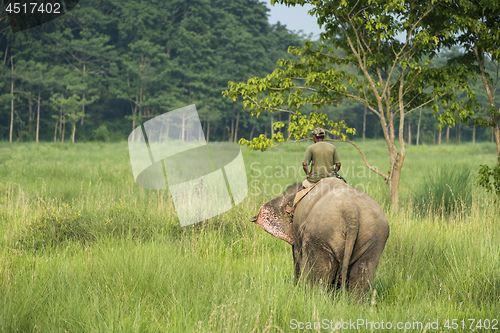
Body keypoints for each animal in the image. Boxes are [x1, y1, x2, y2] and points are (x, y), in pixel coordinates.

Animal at [252, 178, 388, 294]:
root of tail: (351, 211)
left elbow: (297, 255)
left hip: (319, 235)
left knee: (318, 274)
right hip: (374, 237)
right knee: (362, 274)